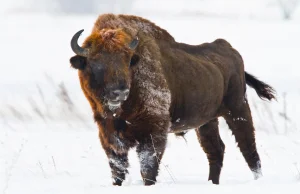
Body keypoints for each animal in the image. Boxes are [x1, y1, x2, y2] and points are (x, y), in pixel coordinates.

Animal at [69, 12, 276, 186]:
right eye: (95, 62)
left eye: (127, 60)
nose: (119, 92)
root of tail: (228, 47)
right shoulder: (109, 135)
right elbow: (118, 170)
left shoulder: (153, 133)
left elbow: (148, 170)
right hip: (207, 121)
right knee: (216, 150)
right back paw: (212, 183)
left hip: (238, 109)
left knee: (249, 149)